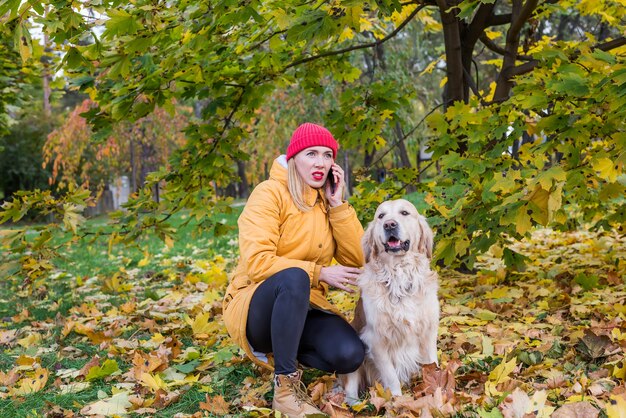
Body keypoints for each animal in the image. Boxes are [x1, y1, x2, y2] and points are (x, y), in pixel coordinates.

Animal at [338, 201, 436, 404]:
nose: (389, 224)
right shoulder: (376, 341)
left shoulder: (429, 332)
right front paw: (398, 402)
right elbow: (391, 377)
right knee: (350, 391)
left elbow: (433, 365)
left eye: (404, 212)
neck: (399, 276)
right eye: (381, 216)